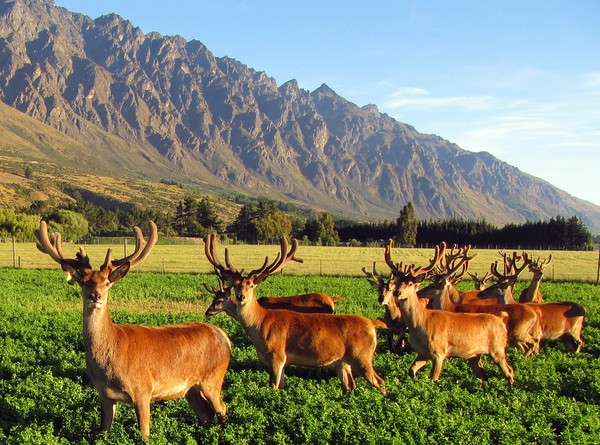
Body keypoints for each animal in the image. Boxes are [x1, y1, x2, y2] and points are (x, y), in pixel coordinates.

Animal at [35, 220, 230, 438]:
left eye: (107, 282)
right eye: (84, 282)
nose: (95, 296)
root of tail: (225, 337)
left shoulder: (143, 389)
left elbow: (144, 433)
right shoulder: (103, 393)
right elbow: (104, 430)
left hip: (214, 377)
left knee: (222, 407)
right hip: (190, 389)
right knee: (206, 415)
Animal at [204, 234, 386, 394]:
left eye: (251, 285)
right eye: (235, 285)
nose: (241, 297)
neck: (260, 324)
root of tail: (373, 324)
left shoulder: (277, 355)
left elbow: (273, 387)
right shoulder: (281, 361)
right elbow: (281, 386)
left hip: (362, 357)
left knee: (380, 381)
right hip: (343, 362)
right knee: (350, 386)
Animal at [384, 239, 516, 382]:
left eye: (410, 283)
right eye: (397, 282)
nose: (397, 293)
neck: (421, 323)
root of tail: (500, 319)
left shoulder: (439, 352)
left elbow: (434, 378)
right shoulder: (422, 353)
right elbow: (411, 371)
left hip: (498, 348)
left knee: (510, 371)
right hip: (475, 355)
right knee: (483, 375)